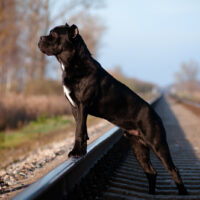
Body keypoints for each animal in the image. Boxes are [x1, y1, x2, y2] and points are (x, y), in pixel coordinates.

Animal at [38, 22, 188, 195]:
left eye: (54, 34)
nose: (40, 38)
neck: (73, 63)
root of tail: (156, 115)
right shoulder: (75, 107)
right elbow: (81, 129)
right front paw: (82, 151)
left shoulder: (82, 105)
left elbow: (78, 132)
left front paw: (76, 152)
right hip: (138, 147)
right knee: (151, 171)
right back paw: (151, 193)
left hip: (157, 144)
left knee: (173, 169)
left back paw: (182, 192)